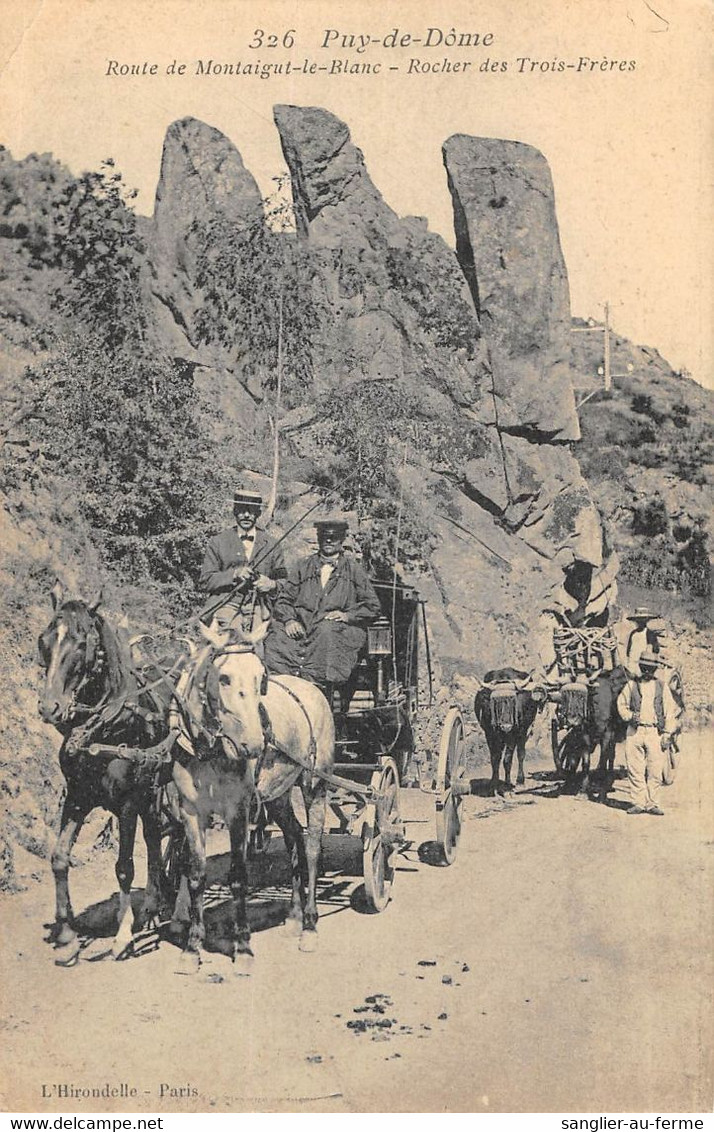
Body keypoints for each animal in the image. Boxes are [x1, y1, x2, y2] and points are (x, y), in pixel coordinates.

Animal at [38, 584, 177, 964]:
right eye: (44, 641)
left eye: (82, 643)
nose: (50, 707)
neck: (104, 727)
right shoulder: (77, 797)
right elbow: (59, 859)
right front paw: (67, 936)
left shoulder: (128, 802)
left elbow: (124, 867)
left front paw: (122, 936)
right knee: (156, 837)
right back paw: (155, 904)